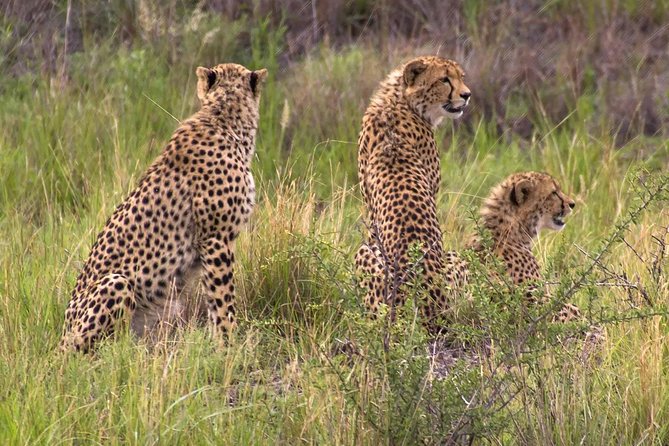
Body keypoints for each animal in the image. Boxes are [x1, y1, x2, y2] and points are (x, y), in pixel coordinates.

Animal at [59, 62, 268, 352]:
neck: (224, 118)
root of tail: (59, 340)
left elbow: (215, 301)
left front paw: (219, 345)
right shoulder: (216, 238)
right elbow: (223, 300)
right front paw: (229, 345)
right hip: (117, 283)